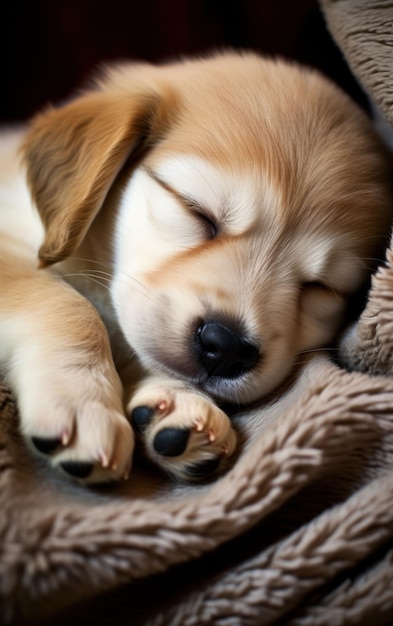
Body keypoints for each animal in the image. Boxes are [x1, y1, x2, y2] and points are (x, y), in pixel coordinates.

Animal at [0, 53, 390, 482]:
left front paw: (173, 401)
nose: (227, 346)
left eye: (322, 286)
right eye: (197, 212)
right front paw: (84, 398)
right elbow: (67, 304)